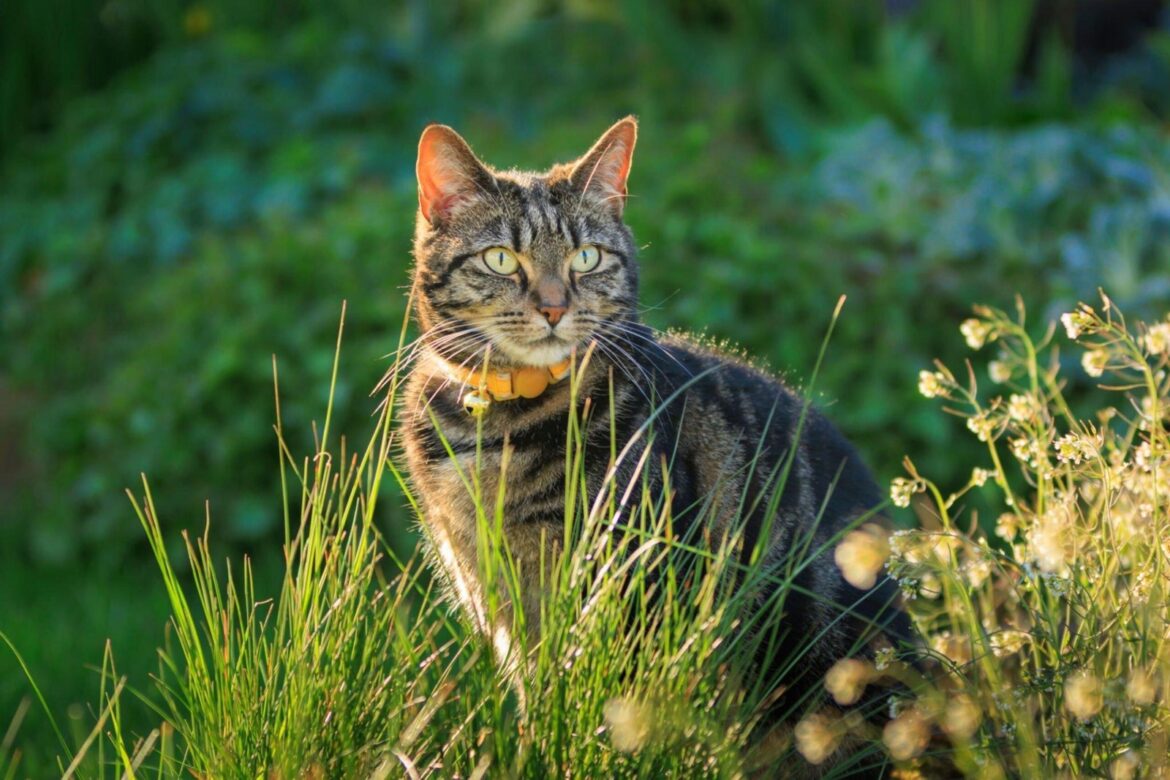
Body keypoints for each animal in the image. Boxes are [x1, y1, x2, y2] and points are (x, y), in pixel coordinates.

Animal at [397, 115, 907, 725]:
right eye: (500, 259)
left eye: (587, 257)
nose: (554, 307)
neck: (498, 424)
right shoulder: (491, 593)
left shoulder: (627, 586)